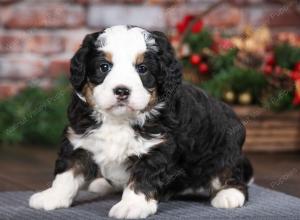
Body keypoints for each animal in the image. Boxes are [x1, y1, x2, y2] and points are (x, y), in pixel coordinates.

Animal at [28, 25, 253, 218]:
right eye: (104, 67)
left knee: (232, 176)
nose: (121, 91)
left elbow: (142, 179)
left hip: (224, 152)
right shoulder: (79, 140)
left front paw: (131, 206)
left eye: (142, 68)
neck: (118, 120)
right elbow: (67, 172)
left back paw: (229, 195)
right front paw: (53, 196)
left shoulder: (157, 148)